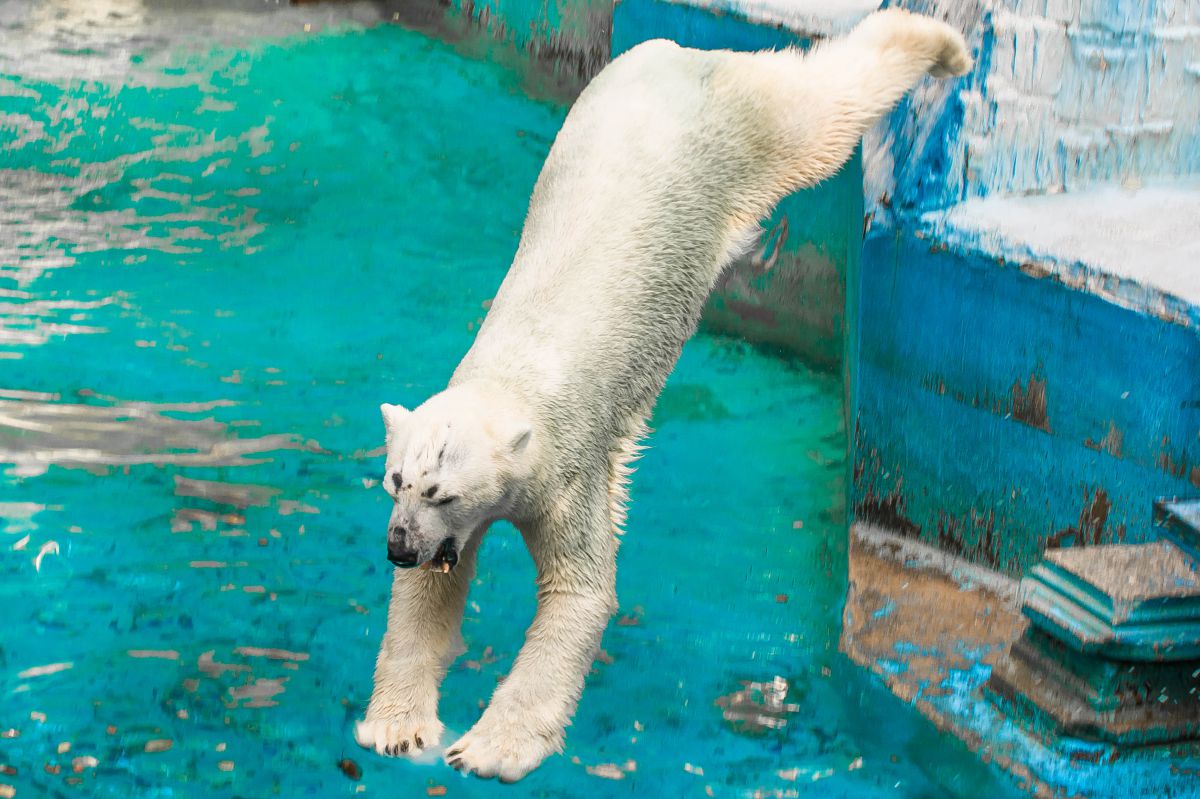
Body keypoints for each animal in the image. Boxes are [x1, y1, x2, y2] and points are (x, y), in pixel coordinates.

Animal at [350, 7, 969, 777]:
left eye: (442, 490)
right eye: (395, 480)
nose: (397, 546)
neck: (512, 379)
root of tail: (667, 52)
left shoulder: (570, 468)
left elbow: (579, 594)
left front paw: (488, 749)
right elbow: (432, 593)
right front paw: (397, 727)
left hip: (732, 131)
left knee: (818, 109)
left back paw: (944, 47)